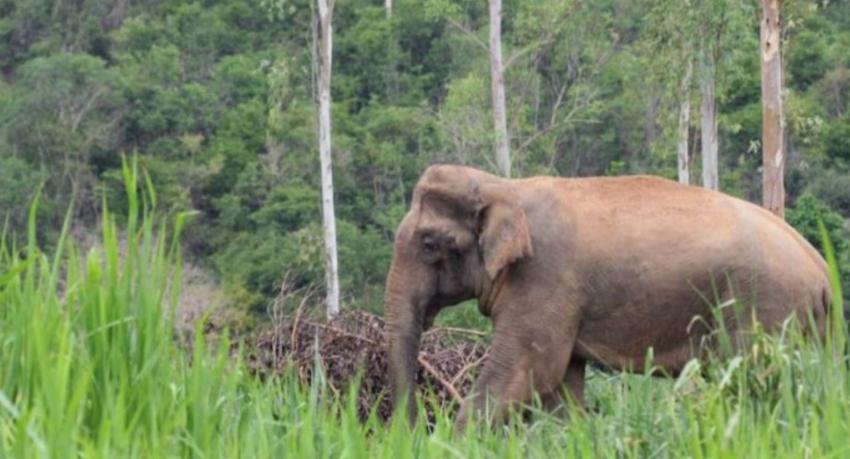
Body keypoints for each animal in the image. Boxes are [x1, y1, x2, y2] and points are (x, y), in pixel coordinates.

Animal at [383, 164, 832, 427]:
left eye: (428, 243)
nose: (411, 431)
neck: (504, 186)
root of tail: (821, 270)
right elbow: (561, 386)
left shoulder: (544, 278)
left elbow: (524, 373)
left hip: (765, 310)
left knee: (759, 386)